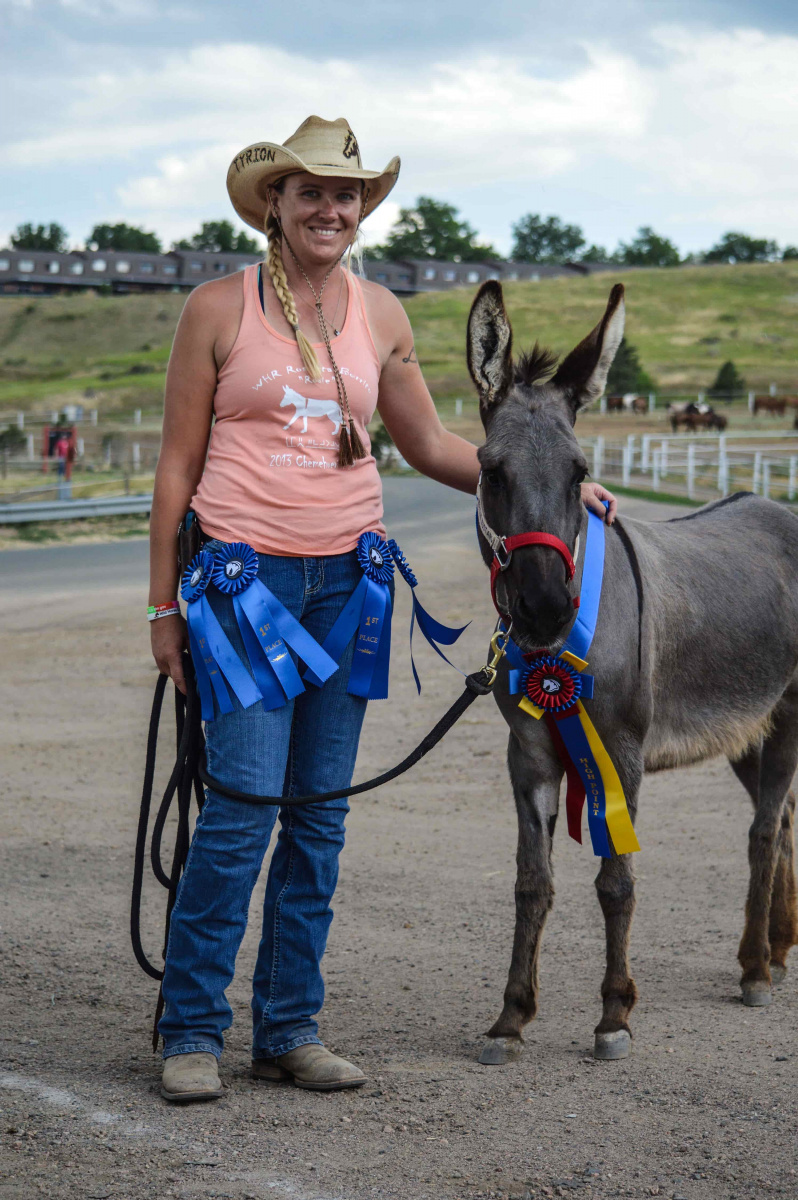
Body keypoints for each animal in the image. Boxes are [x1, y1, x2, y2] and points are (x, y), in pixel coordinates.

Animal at [468, 283, 796, 1070]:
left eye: (582, 472)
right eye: (492, 472)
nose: (545, 608)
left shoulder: (619, 751)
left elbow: (616, 881)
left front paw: (614, 1014)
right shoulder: (529, 754)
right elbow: (532, 883)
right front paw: (511, 1018)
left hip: (792, 714)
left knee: (764, 830)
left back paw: (755, 968)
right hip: (747, 731)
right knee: (784, 822)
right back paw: (776, 947)